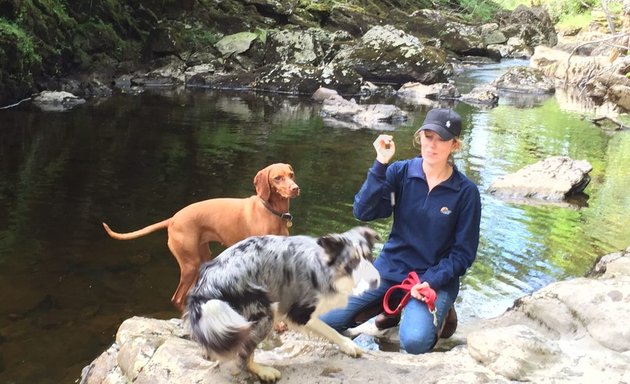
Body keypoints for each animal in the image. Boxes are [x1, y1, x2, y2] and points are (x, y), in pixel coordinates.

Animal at [102, 164, 300, 310]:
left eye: (291, 175)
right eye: (277, 178)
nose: (295, 189)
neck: (273, 213)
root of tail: (173, 219)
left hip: (202, 259)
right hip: (190, 264)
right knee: (177, 299)